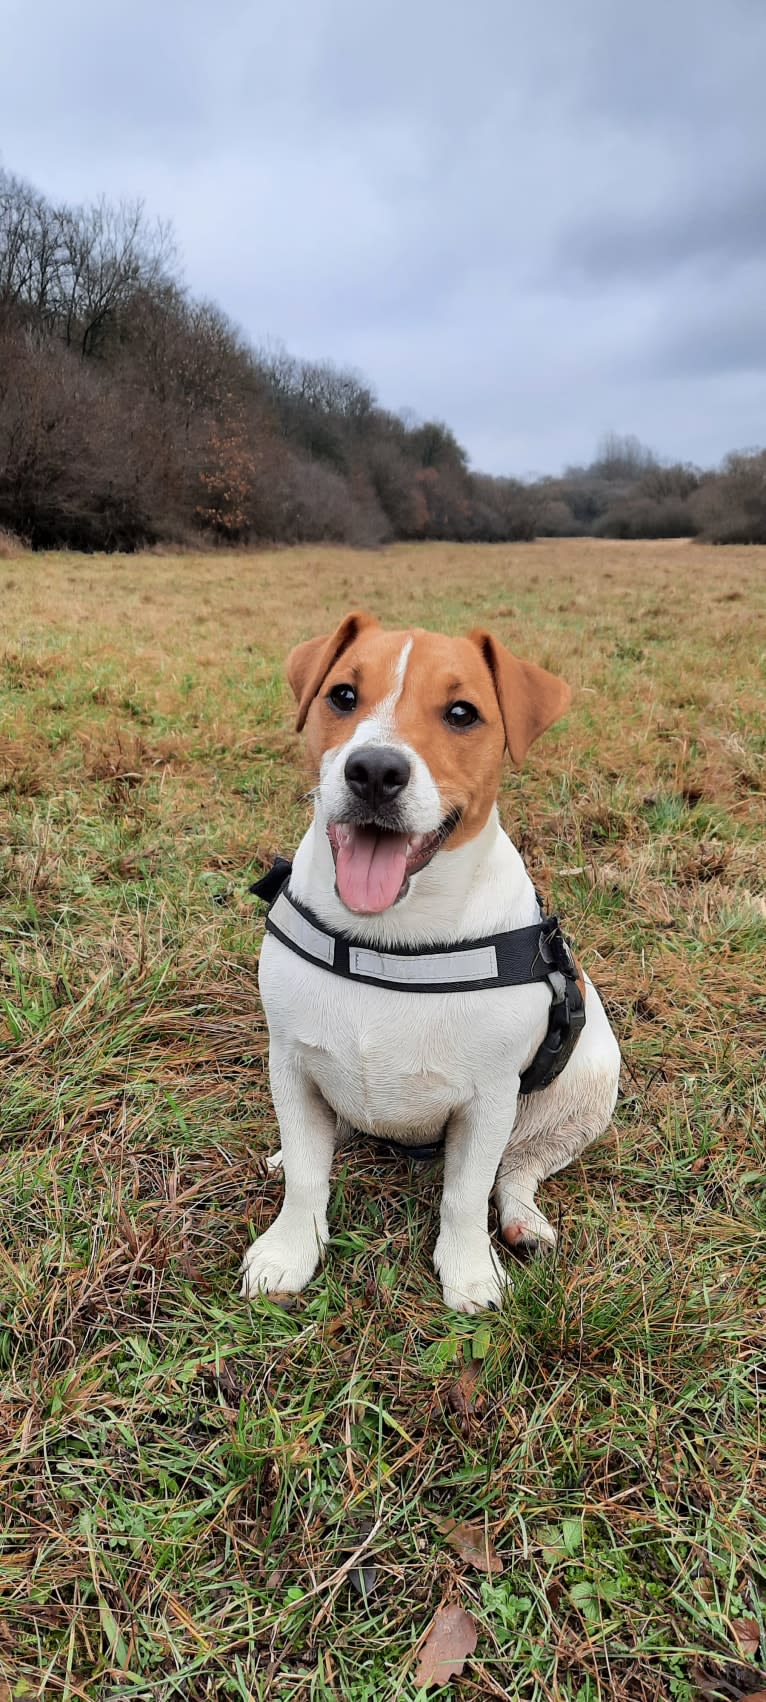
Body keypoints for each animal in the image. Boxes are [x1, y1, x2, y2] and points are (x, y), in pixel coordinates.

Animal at [241, 612, 619, 1313]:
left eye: (462, 713)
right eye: (342, 696)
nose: (373, 770)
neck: (389, 936)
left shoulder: (487, 1100)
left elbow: (466, 1195)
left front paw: (469, 1271)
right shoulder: (292, 1063)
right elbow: (307, 1178)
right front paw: (290, 1251)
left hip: (585, 1090)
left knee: (518, 1168)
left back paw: (523, 1220)